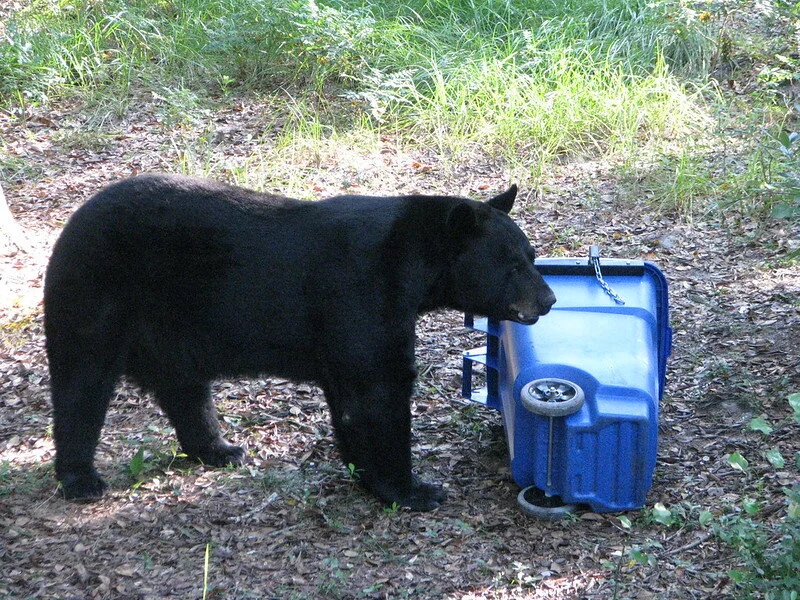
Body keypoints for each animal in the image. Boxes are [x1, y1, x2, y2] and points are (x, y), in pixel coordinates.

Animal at [44, 174, 556, 511]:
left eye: (532, 256)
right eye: (513, 264)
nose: (549, 299)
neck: (412, 266)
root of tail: (72, 223)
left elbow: (352, 398)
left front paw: (366, 475)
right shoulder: (362, 291)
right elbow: (379, 389)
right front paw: (414, 490)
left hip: (171, 324)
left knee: (182, 385)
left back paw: (219, 449)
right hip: (96, 292)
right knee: (82, 383)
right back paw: (81, 478)